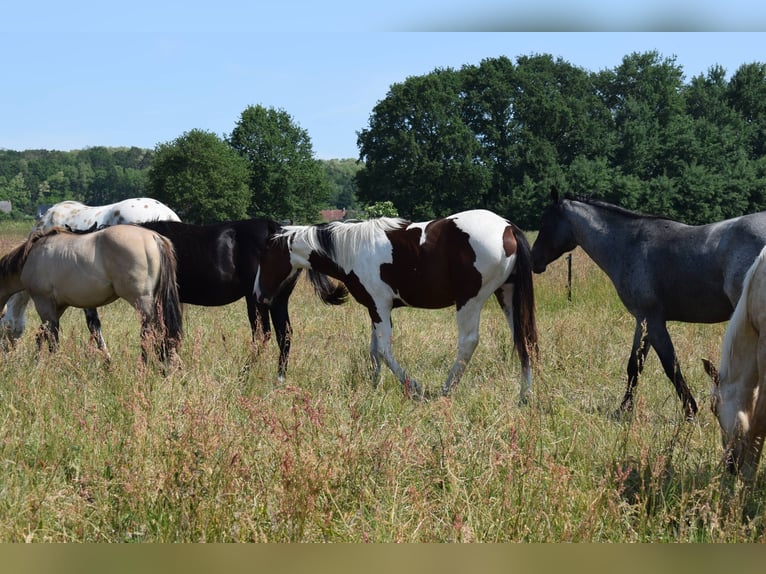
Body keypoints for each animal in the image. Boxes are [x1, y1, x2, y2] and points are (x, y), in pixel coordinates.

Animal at [138, 219, 349, 380]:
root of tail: (278, 229)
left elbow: (151, 334)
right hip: (278, 299)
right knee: (284, 335)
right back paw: (279, 377)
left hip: (257, 299)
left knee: (263, 334)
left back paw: (244, 375)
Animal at [253, 209, 539, 401]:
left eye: (265, 255)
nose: (258, 294)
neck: (352, 250)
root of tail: (507, 227)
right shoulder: (374, 309)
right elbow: (374, 351)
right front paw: (373, 386)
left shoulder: (380, 306)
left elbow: (384, 351)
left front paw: (414, 388)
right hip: (507, 295)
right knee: (522, 339)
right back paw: (524, 395)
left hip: (470, 302)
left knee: (468, 343)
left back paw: (445, 391)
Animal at [531, 188, 766, 419]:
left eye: (544, 222)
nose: (534, 259)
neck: (628, 244)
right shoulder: (642, 320)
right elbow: (634, 366)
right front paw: (623, 409)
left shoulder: (653, 320)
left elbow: (671, 366)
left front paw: (690, 410)